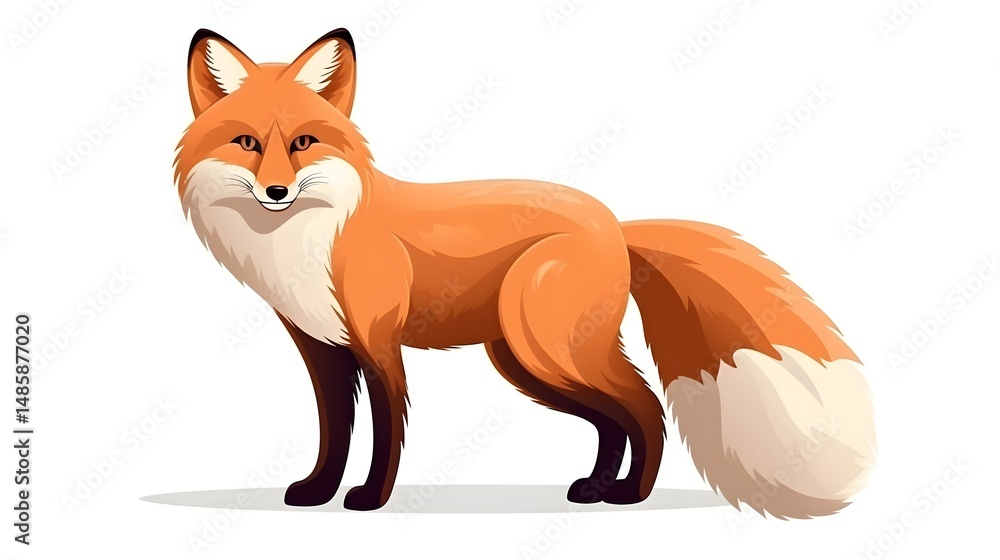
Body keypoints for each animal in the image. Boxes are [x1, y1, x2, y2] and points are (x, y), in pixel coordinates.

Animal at [174, 28, 876, 515]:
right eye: (246, 143)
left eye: (302, 143)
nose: (276, 192)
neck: (313, 237)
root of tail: (615, 223)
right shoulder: (321, 349)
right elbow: (334, 433)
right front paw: (318, 492)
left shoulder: (377, 344)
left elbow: (384, 432)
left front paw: (371, 498)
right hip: (522, 360)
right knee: (615, 418)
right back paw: (596, 487)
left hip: (546, 349)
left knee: (645, 405)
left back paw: (630, 496)